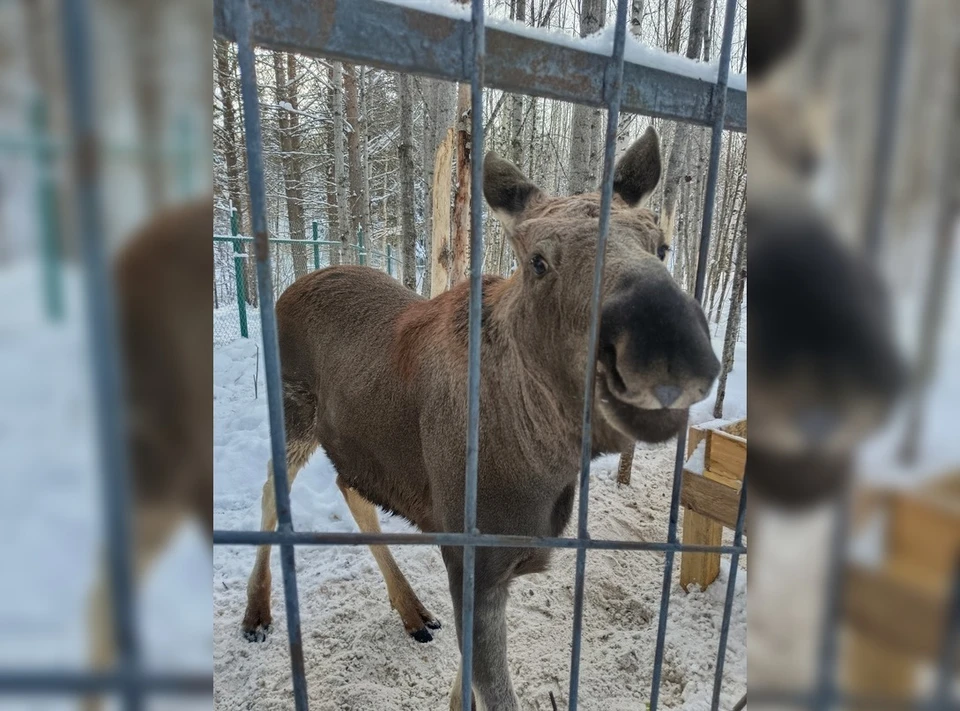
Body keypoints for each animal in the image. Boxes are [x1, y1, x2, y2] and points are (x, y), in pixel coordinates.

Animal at [240, 125, 720, 708]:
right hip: (292, 411)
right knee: (271, 491)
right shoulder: (473, 557)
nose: (668, 346)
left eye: (663, 245)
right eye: (538, 260)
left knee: (349, 485)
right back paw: (257, 612)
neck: (546, 465)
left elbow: (463, 685)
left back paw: (411, 609)